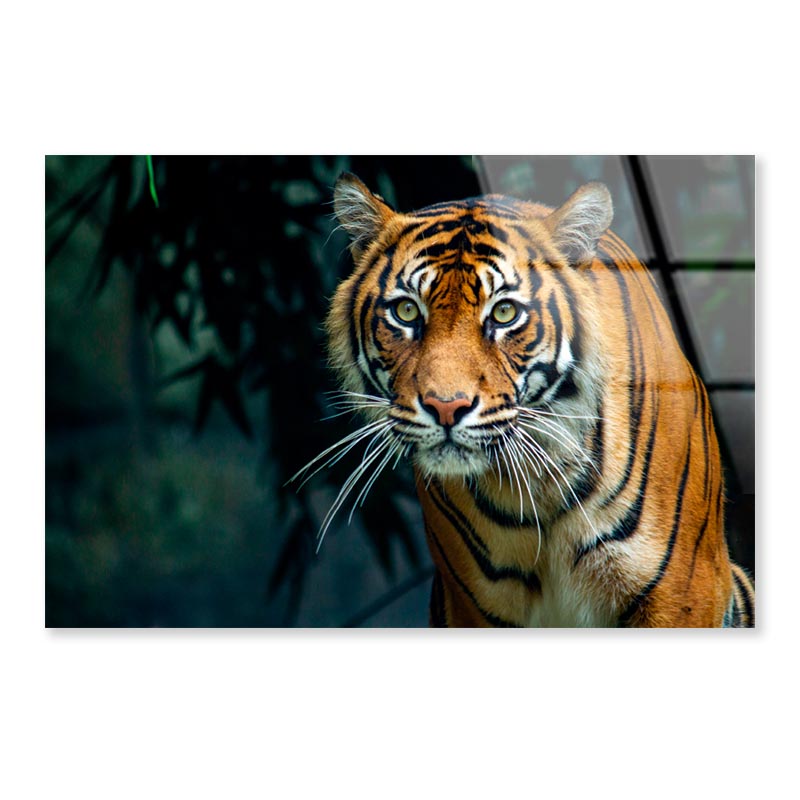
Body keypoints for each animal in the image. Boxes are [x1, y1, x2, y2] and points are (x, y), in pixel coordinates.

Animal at [314, 171, 754, 628]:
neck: (537, 488)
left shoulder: (680, 592)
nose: (446, 407)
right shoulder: (474, 607)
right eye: (406, 311)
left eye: (504, 313)